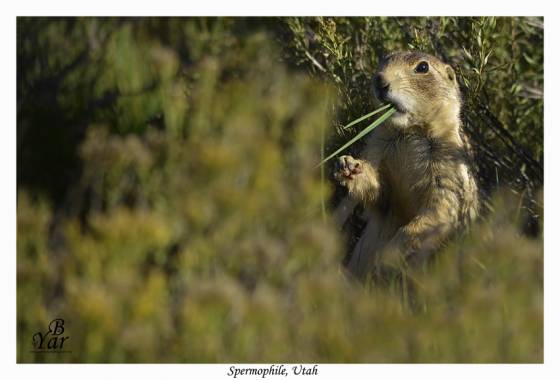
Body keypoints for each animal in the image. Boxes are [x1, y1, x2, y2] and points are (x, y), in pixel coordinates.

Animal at [334, 50, 480, 278]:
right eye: (384, 59)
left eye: (423, 67)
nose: (379, 80)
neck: (411, 131)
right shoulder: (378, 146)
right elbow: (381, 192)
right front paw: (349, 166)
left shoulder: (448, 168)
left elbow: (438, 211)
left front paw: (387, 256)